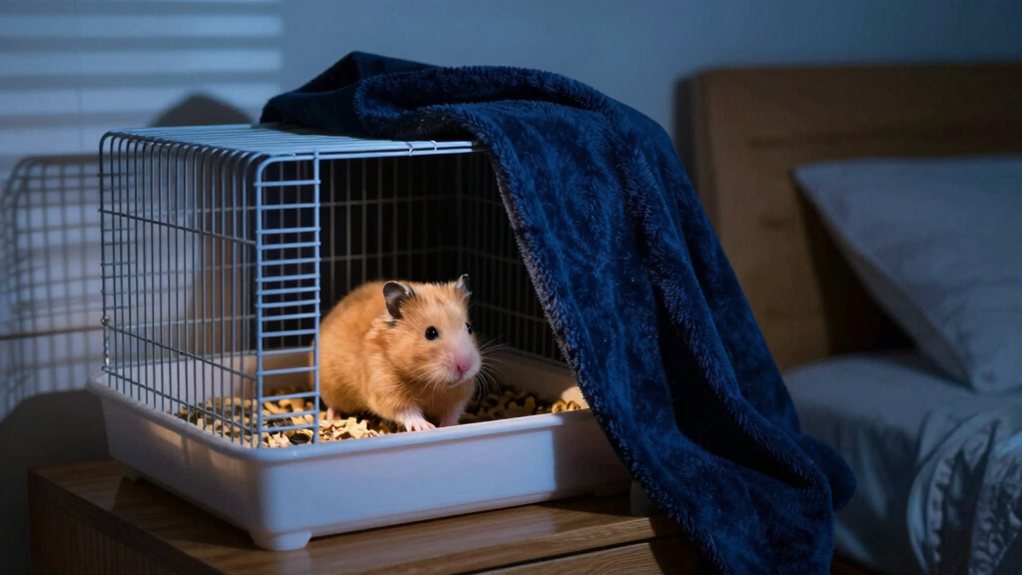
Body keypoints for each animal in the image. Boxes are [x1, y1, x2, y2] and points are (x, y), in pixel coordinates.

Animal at [319, 274, 482, 432]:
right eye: (430, 333)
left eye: (469, 328)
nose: (464, 367)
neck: (427, 382)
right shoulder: (385, 390)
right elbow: (406, 410)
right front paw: (425, 426)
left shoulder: (461, 391)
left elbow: (453, 411)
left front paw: (447, 426)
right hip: (330, 386)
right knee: (333, 405)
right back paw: (332, 419)